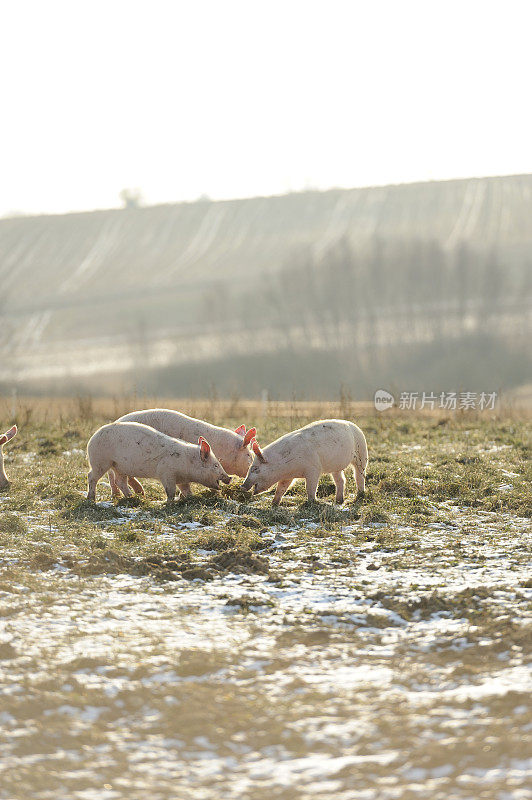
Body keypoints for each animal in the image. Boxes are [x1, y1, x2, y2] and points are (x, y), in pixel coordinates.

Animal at [86, 418, 230, 500]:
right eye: (216, 465)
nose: (229, 478)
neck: (188, 463)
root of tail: (92, 437)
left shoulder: (182, 479)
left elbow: (186, 490)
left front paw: (190, 498)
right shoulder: (166, 472)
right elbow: (170, 491)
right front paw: (170, 503)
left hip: (119, 466)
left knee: (119, 481)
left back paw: (133, 498)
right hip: (100, 461)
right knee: (91, 476)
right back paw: (91, 498)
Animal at [242, 418, 370, 506]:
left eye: (255, 468)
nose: (242, 486)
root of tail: (354, 426)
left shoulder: (313, 469)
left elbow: (310, 487)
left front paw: (311, 502)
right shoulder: (288, 476)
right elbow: (281, 488)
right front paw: (274, 504)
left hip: (362, 454)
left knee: (359, 475)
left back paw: (360, 495)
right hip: (336, 466)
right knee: (341, 480)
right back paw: (338, 501)